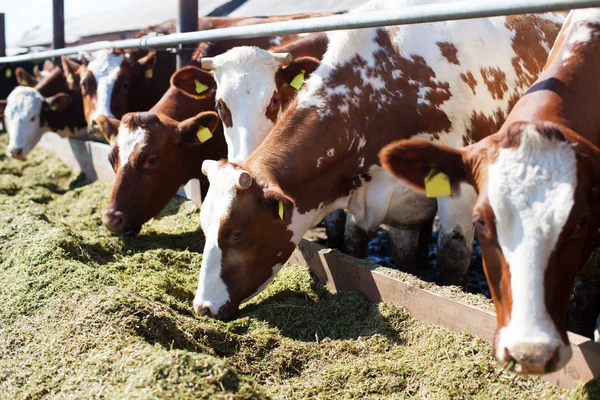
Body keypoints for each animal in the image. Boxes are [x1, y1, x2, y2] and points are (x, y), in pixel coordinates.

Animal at [193, 0, 568, 322]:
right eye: (220, 106)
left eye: (237, 232)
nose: (203, 307)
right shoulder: (389, 206)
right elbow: (368, 252)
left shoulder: (458, 196)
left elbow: (450, 264)